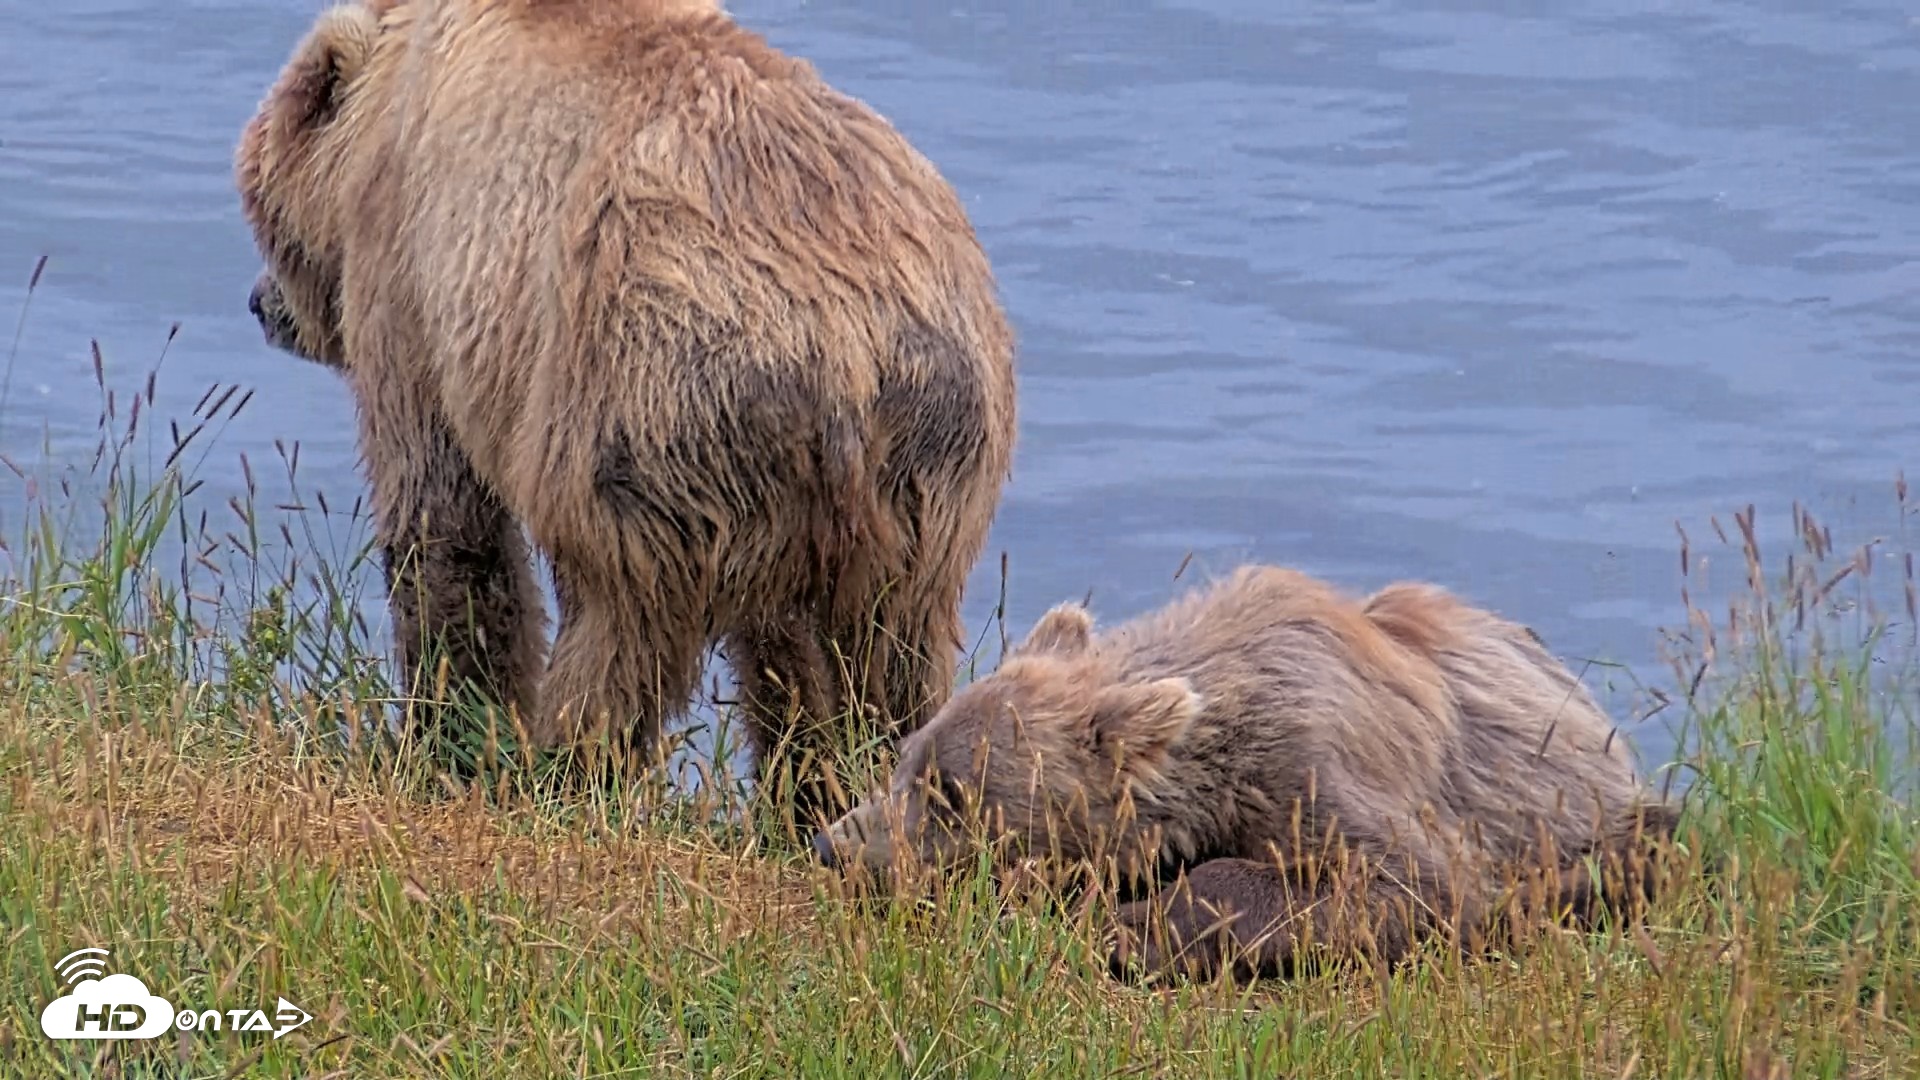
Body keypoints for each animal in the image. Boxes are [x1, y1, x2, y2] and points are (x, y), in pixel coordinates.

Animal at [234, 0, 1018, 818]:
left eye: (263, 217)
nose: (258, 302)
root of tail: (847, 348)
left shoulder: (407, 274)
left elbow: (442, 516)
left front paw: (447, 734)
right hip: (922, 463)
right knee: (869, 651)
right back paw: (824, 791)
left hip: (652, 413)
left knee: (620, 627)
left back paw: (564, 774)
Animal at [811, 564, 1680, 982]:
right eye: (906, 760)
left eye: (951, 792)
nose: (835, 845)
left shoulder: (1317, 763)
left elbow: (1408, 884)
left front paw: (1126, 928)